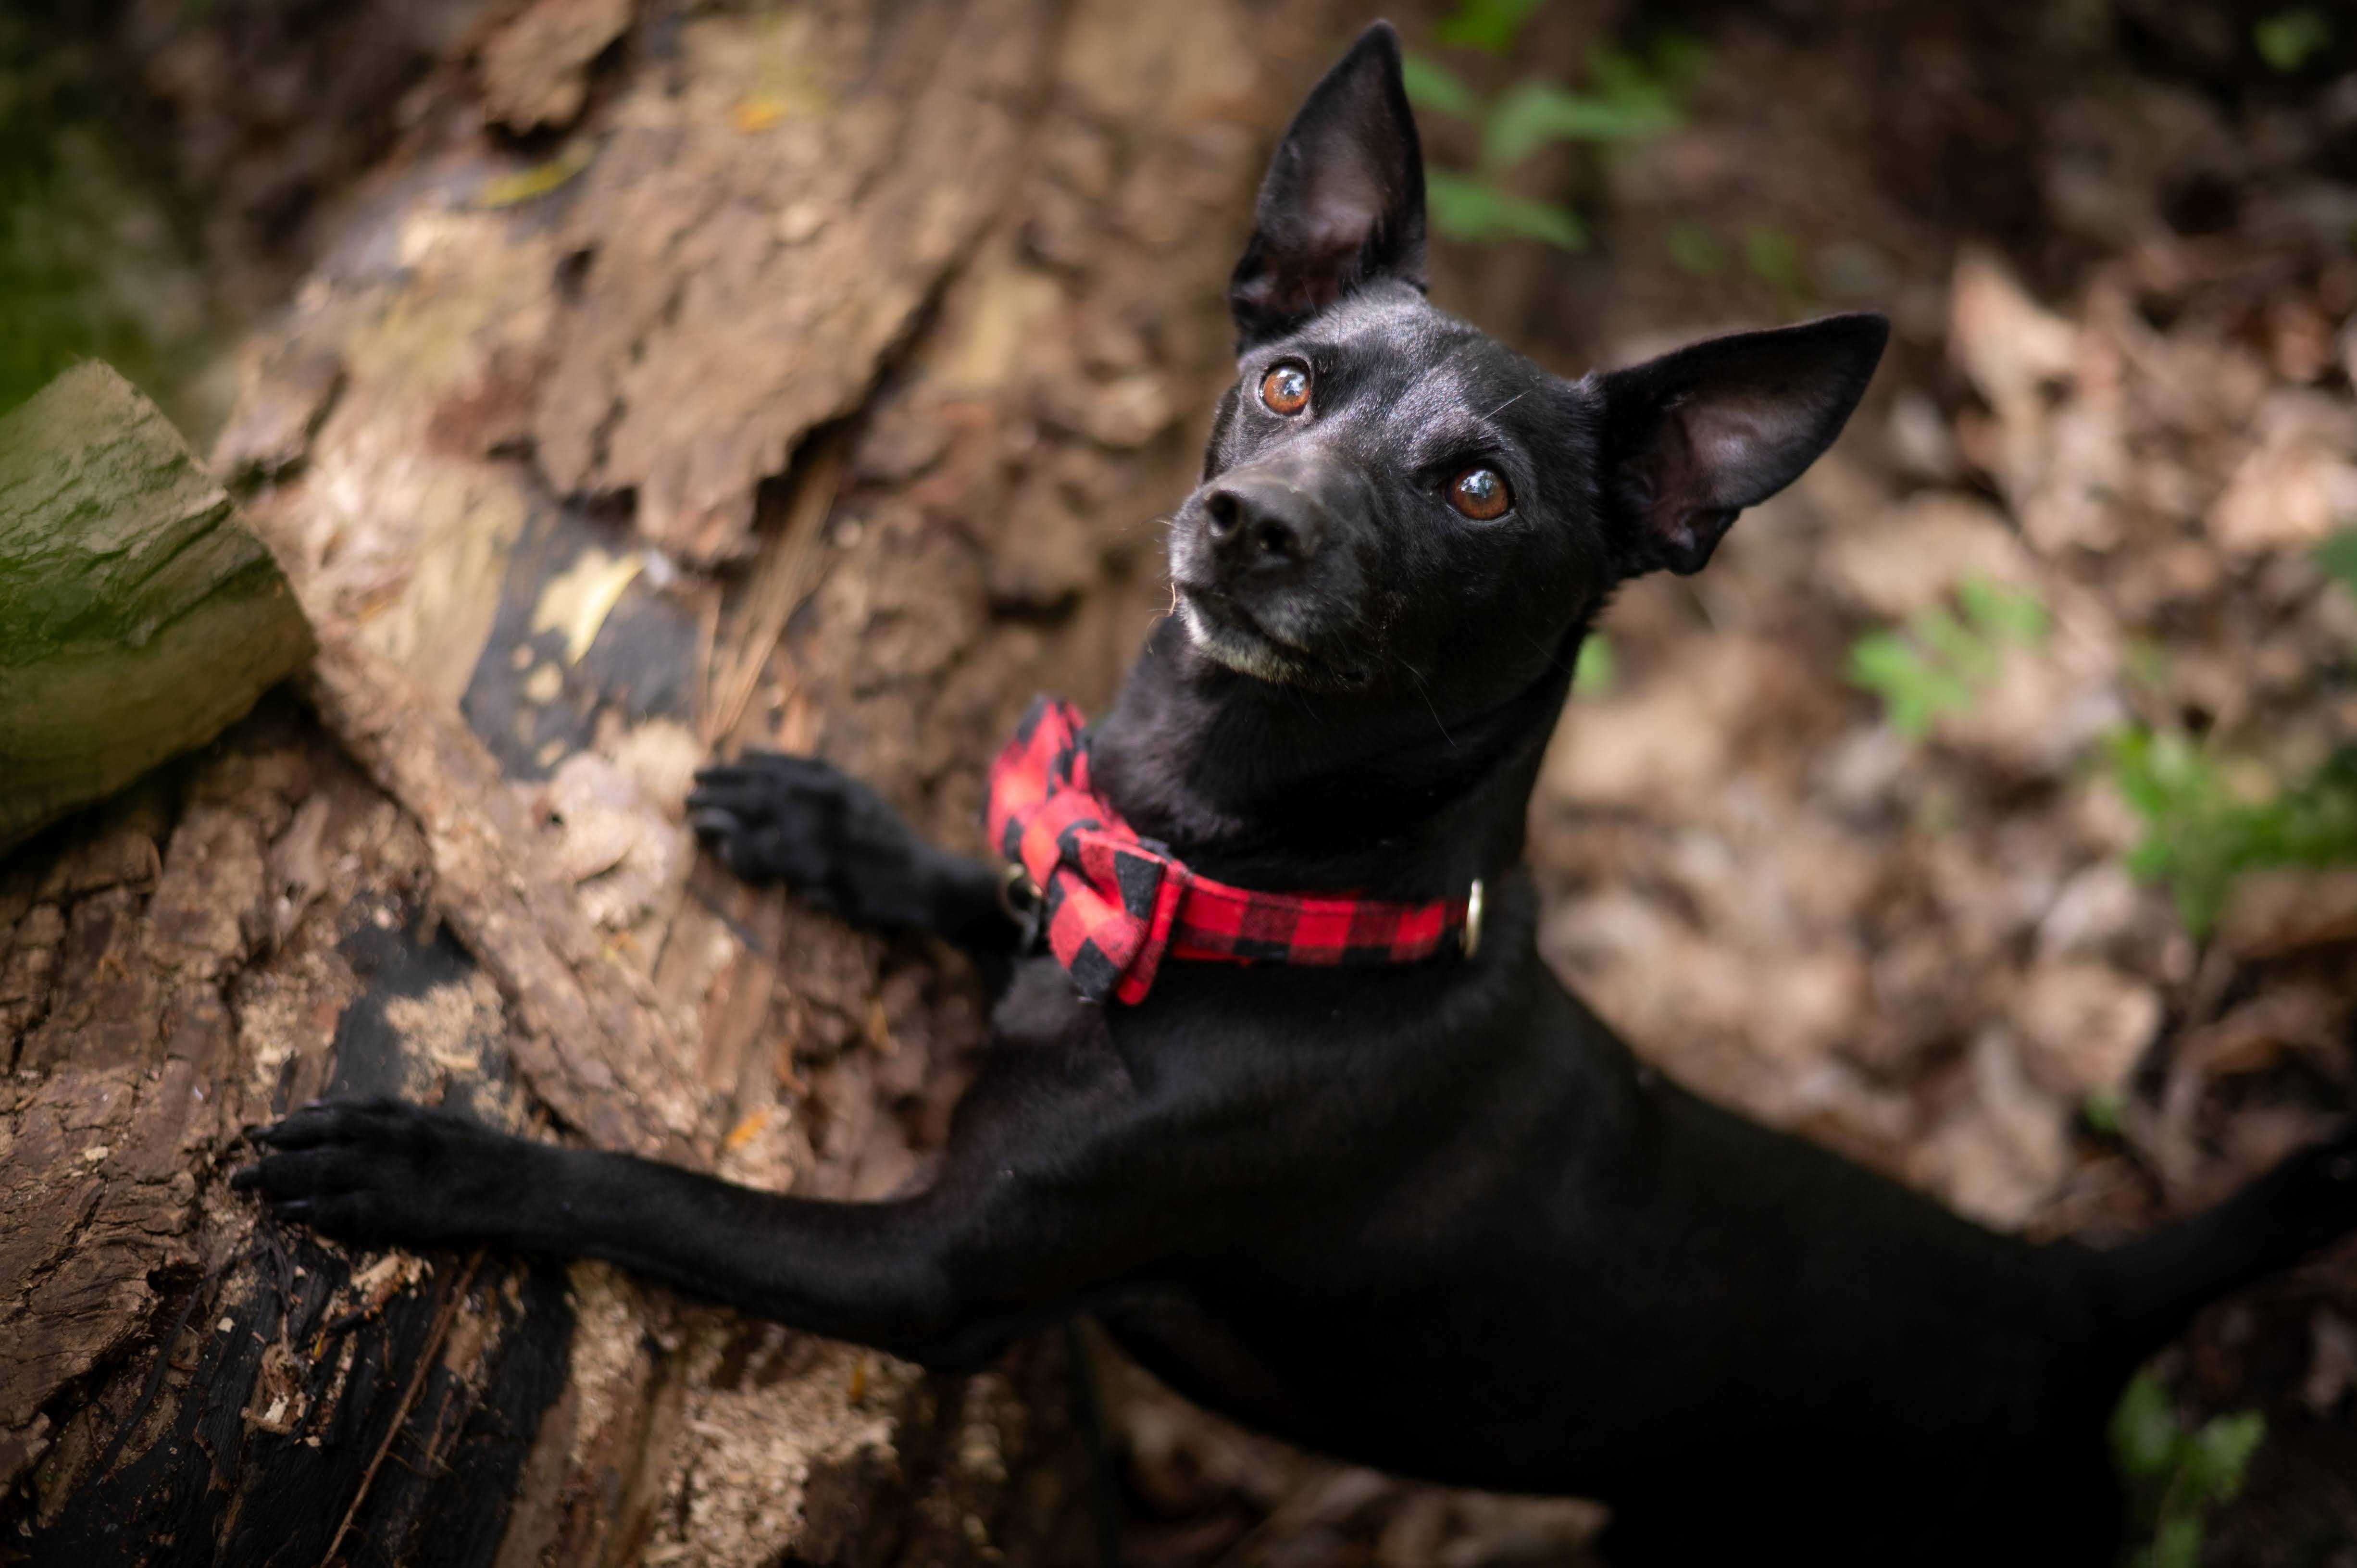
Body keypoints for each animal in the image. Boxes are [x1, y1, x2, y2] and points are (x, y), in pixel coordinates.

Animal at [234, 21, 2357, 1556]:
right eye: (1283, 382)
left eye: (1478, 487)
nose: (1247, 522)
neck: (1273, 901)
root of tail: (2078, 1296)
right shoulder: (1097, 867)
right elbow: (1009, 867)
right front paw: (838, 832)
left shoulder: (933, 1270)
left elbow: (646, 1189)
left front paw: (423, 1164)